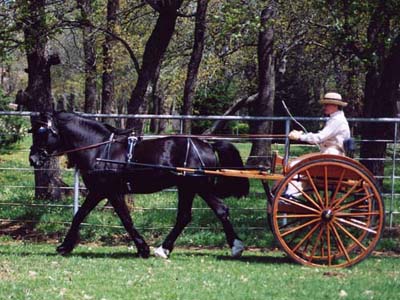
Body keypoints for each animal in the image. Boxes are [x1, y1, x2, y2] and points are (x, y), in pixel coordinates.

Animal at [28, 112, 247, 258]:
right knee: (193, 215)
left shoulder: (107, 191)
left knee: (214, 211)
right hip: (188, 188)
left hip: (197, 186)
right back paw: (166, 249)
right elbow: (82, 216)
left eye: (42, 132)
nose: (33, 159)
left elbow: (122, 219)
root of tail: (207, 144)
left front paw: (143, 248)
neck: (99, 150)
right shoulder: (102, 192)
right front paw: (66, 246)